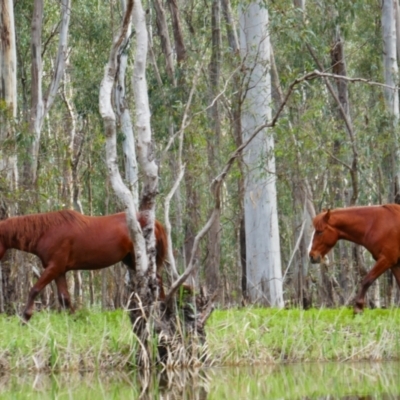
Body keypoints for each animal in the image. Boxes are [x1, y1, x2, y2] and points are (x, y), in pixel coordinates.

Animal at [0, 211, 167, 320]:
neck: (46, 232)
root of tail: (154, 223)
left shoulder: (54, 267)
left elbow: (34, 289)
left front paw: (25, 317)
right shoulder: (59, 271)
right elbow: (64, 298)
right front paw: (74, 318)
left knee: (157, 281)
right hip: (131, 260)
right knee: (157, 280)